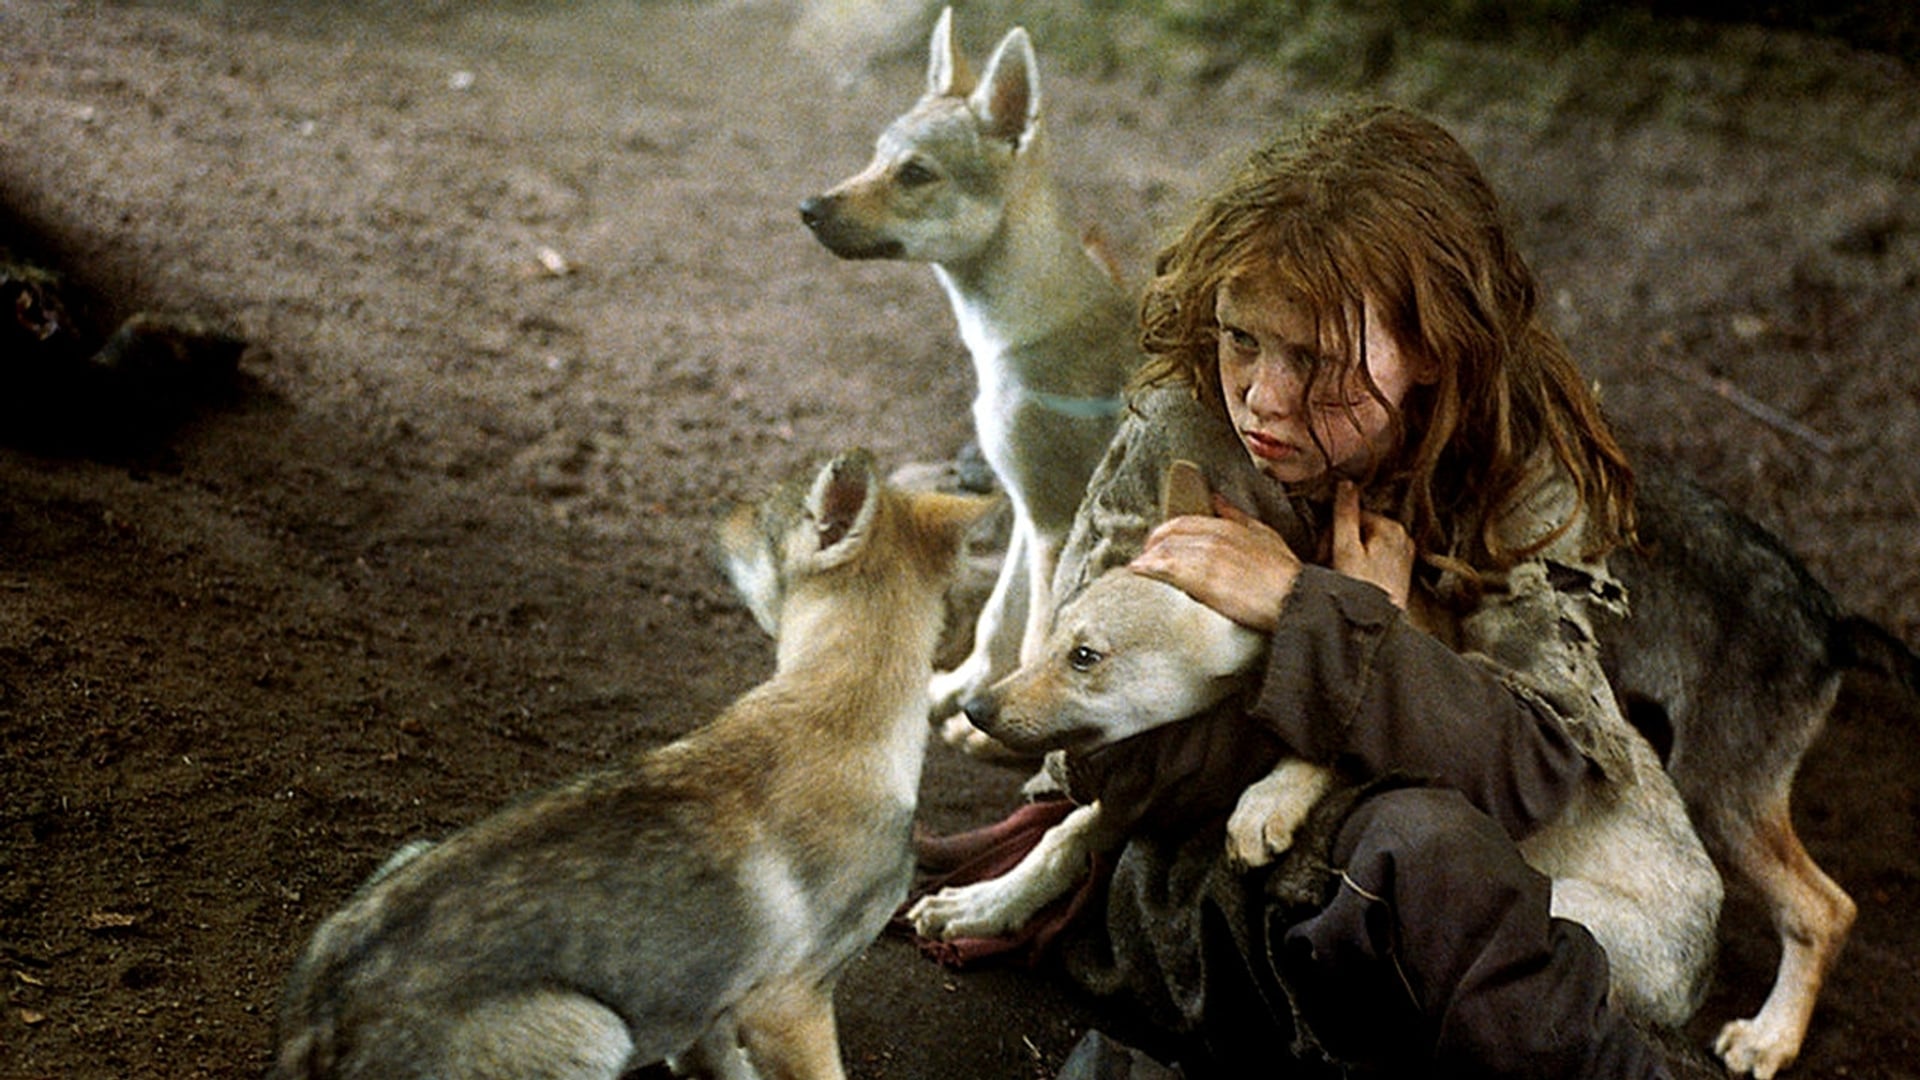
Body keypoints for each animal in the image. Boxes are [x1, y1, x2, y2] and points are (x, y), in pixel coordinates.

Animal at [267, 448, 991, 1080]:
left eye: (758, 515)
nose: (719, 507)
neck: (837, 709)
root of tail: (316, 1028)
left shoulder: (721, 1004)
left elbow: (716, 1062)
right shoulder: (790, 1005)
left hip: (406, 856)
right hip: (595, 1030)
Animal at [798, 7, 1140, 737]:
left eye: (915, 173)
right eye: (875, 155)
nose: (808, 208)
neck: (1009, 338)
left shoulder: (1054, 519)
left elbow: (1039, 636)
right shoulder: (1024, 508)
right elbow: (995, 624)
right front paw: (958, 693)